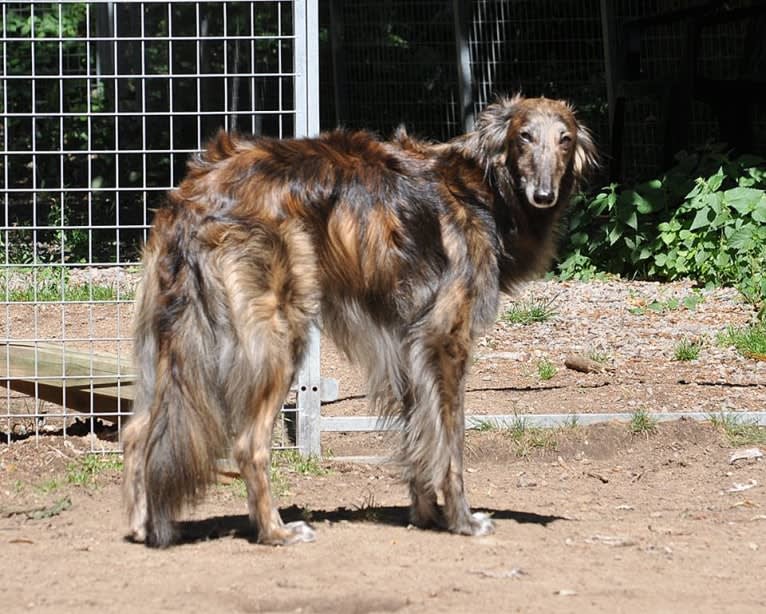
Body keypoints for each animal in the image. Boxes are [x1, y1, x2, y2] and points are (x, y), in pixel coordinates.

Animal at [123, 95, 596, 548]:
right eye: (524, 137)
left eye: (565, 139)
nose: (543, 194)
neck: (482, 189)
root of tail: (198, 190)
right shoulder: (446, 340)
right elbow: (451, 442)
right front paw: (462, 521)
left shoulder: (408, 346)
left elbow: (419, 436)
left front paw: (425, 515)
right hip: (279, 337)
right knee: (247, 446)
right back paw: (277, 532)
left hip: (169, 340)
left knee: (138, 433)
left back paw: (142, 528)